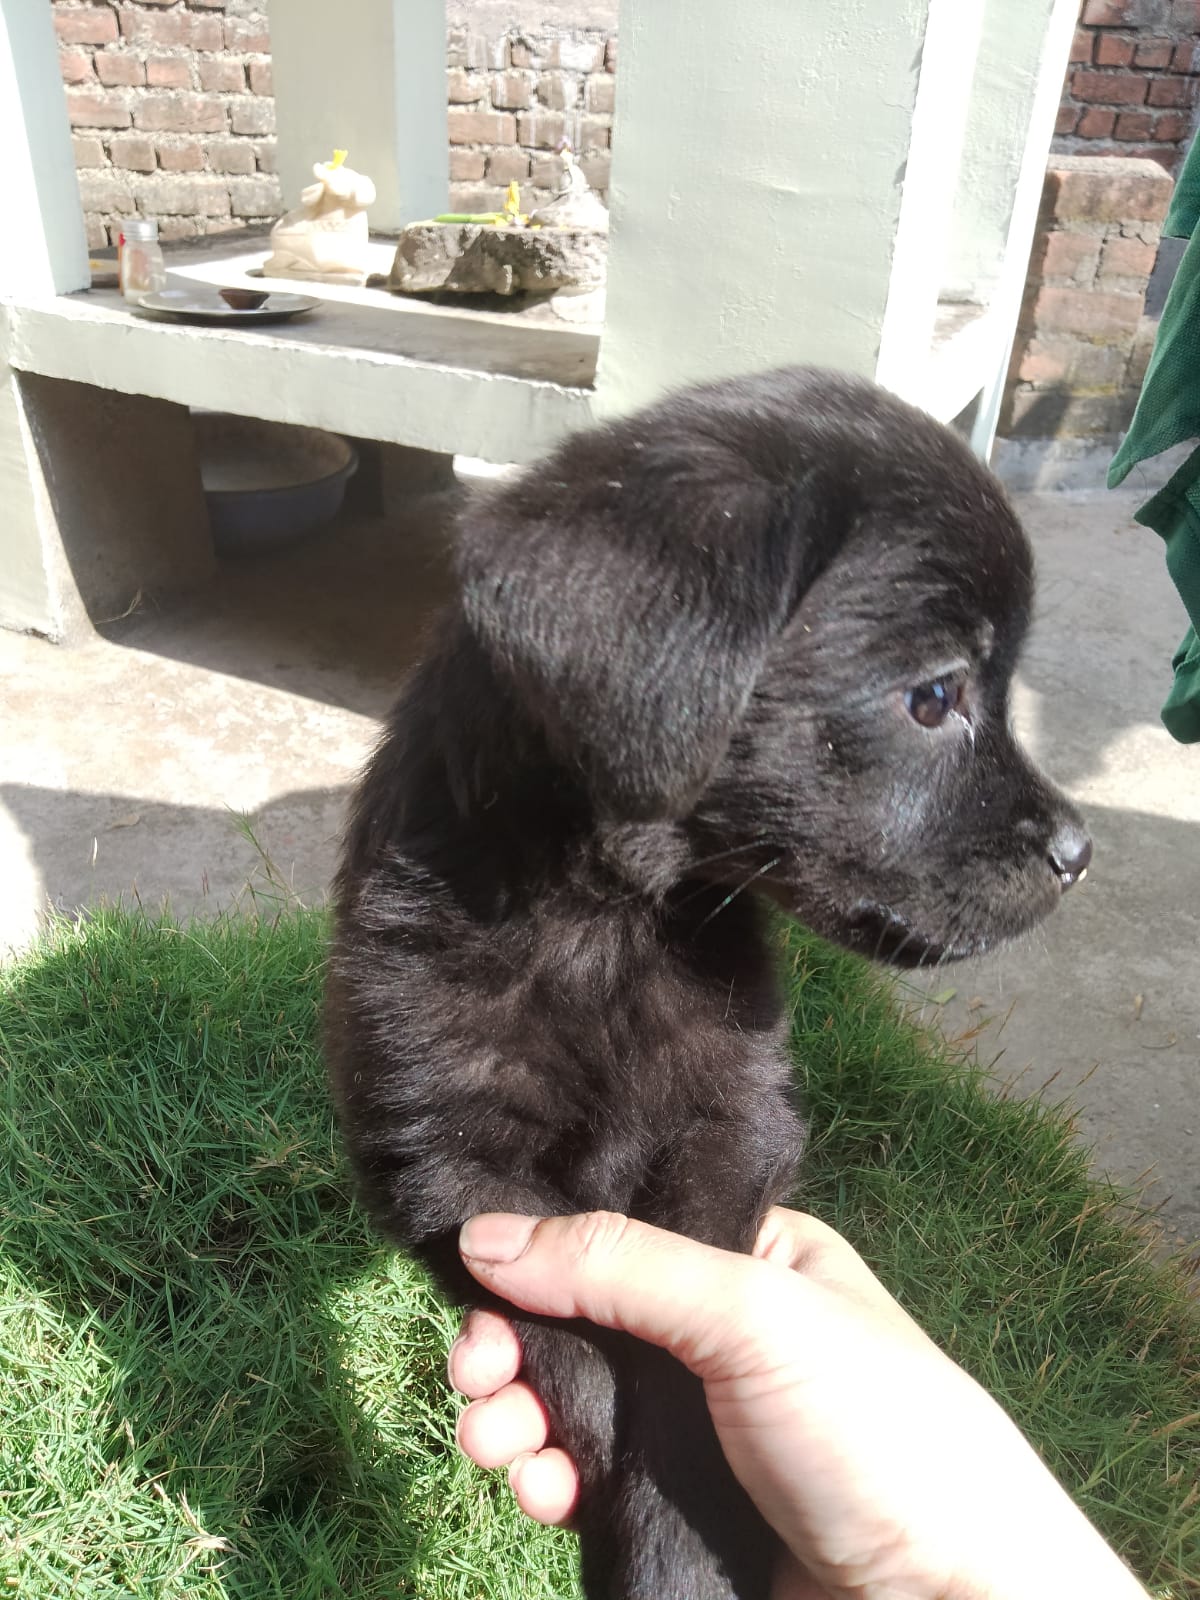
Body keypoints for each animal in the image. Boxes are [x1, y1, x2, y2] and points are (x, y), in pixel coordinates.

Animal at [324, 368, 1094, 1600]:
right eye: (934, 697)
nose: (1080, 851)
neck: (604, 921)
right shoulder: (450, 1157)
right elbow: (573, 1350)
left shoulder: (729, 1121)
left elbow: (687, 1350)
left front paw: (680, 1546)